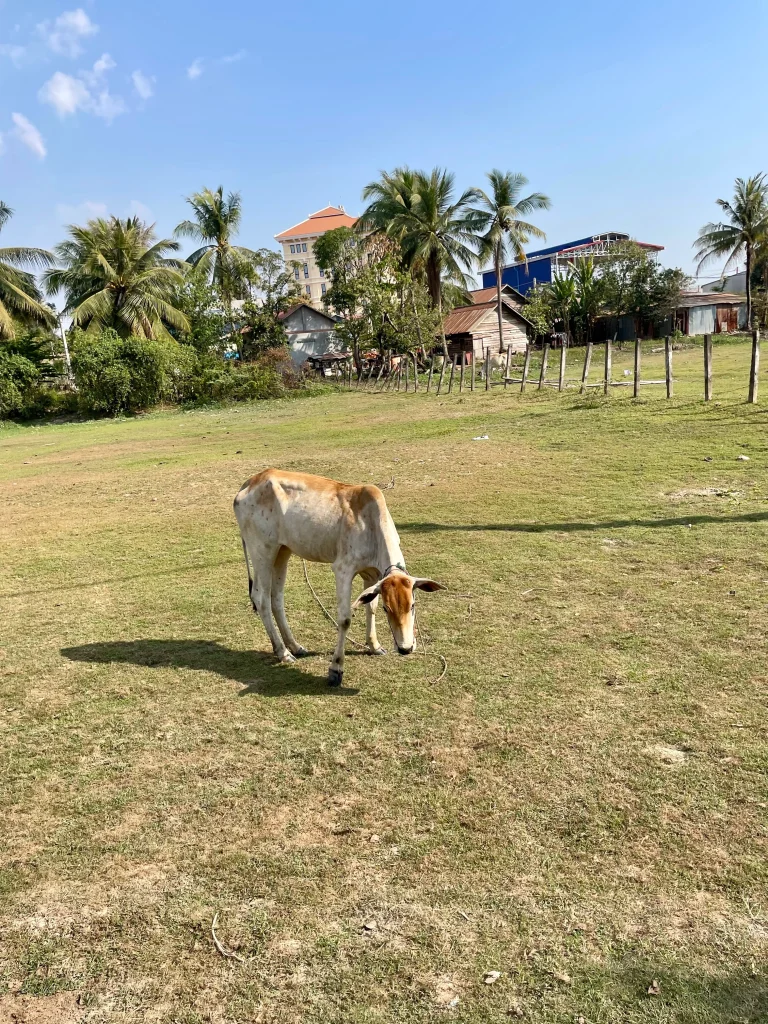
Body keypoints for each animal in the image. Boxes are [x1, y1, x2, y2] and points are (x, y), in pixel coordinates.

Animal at [233, 471, 444, 688]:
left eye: (412, 605)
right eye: (388, 609)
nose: (405, 648)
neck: (371, 525)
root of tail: (250, 482)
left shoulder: (372, 575)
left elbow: (370, 607)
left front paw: (374, 646)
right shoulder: (343, 570)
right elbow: (344, 619)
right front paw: (336, 669)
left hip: (283, 551)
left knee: (277, 598)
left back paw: (295, 646)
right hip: (262, 551)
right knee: (261, 598)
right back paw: (282, 652)